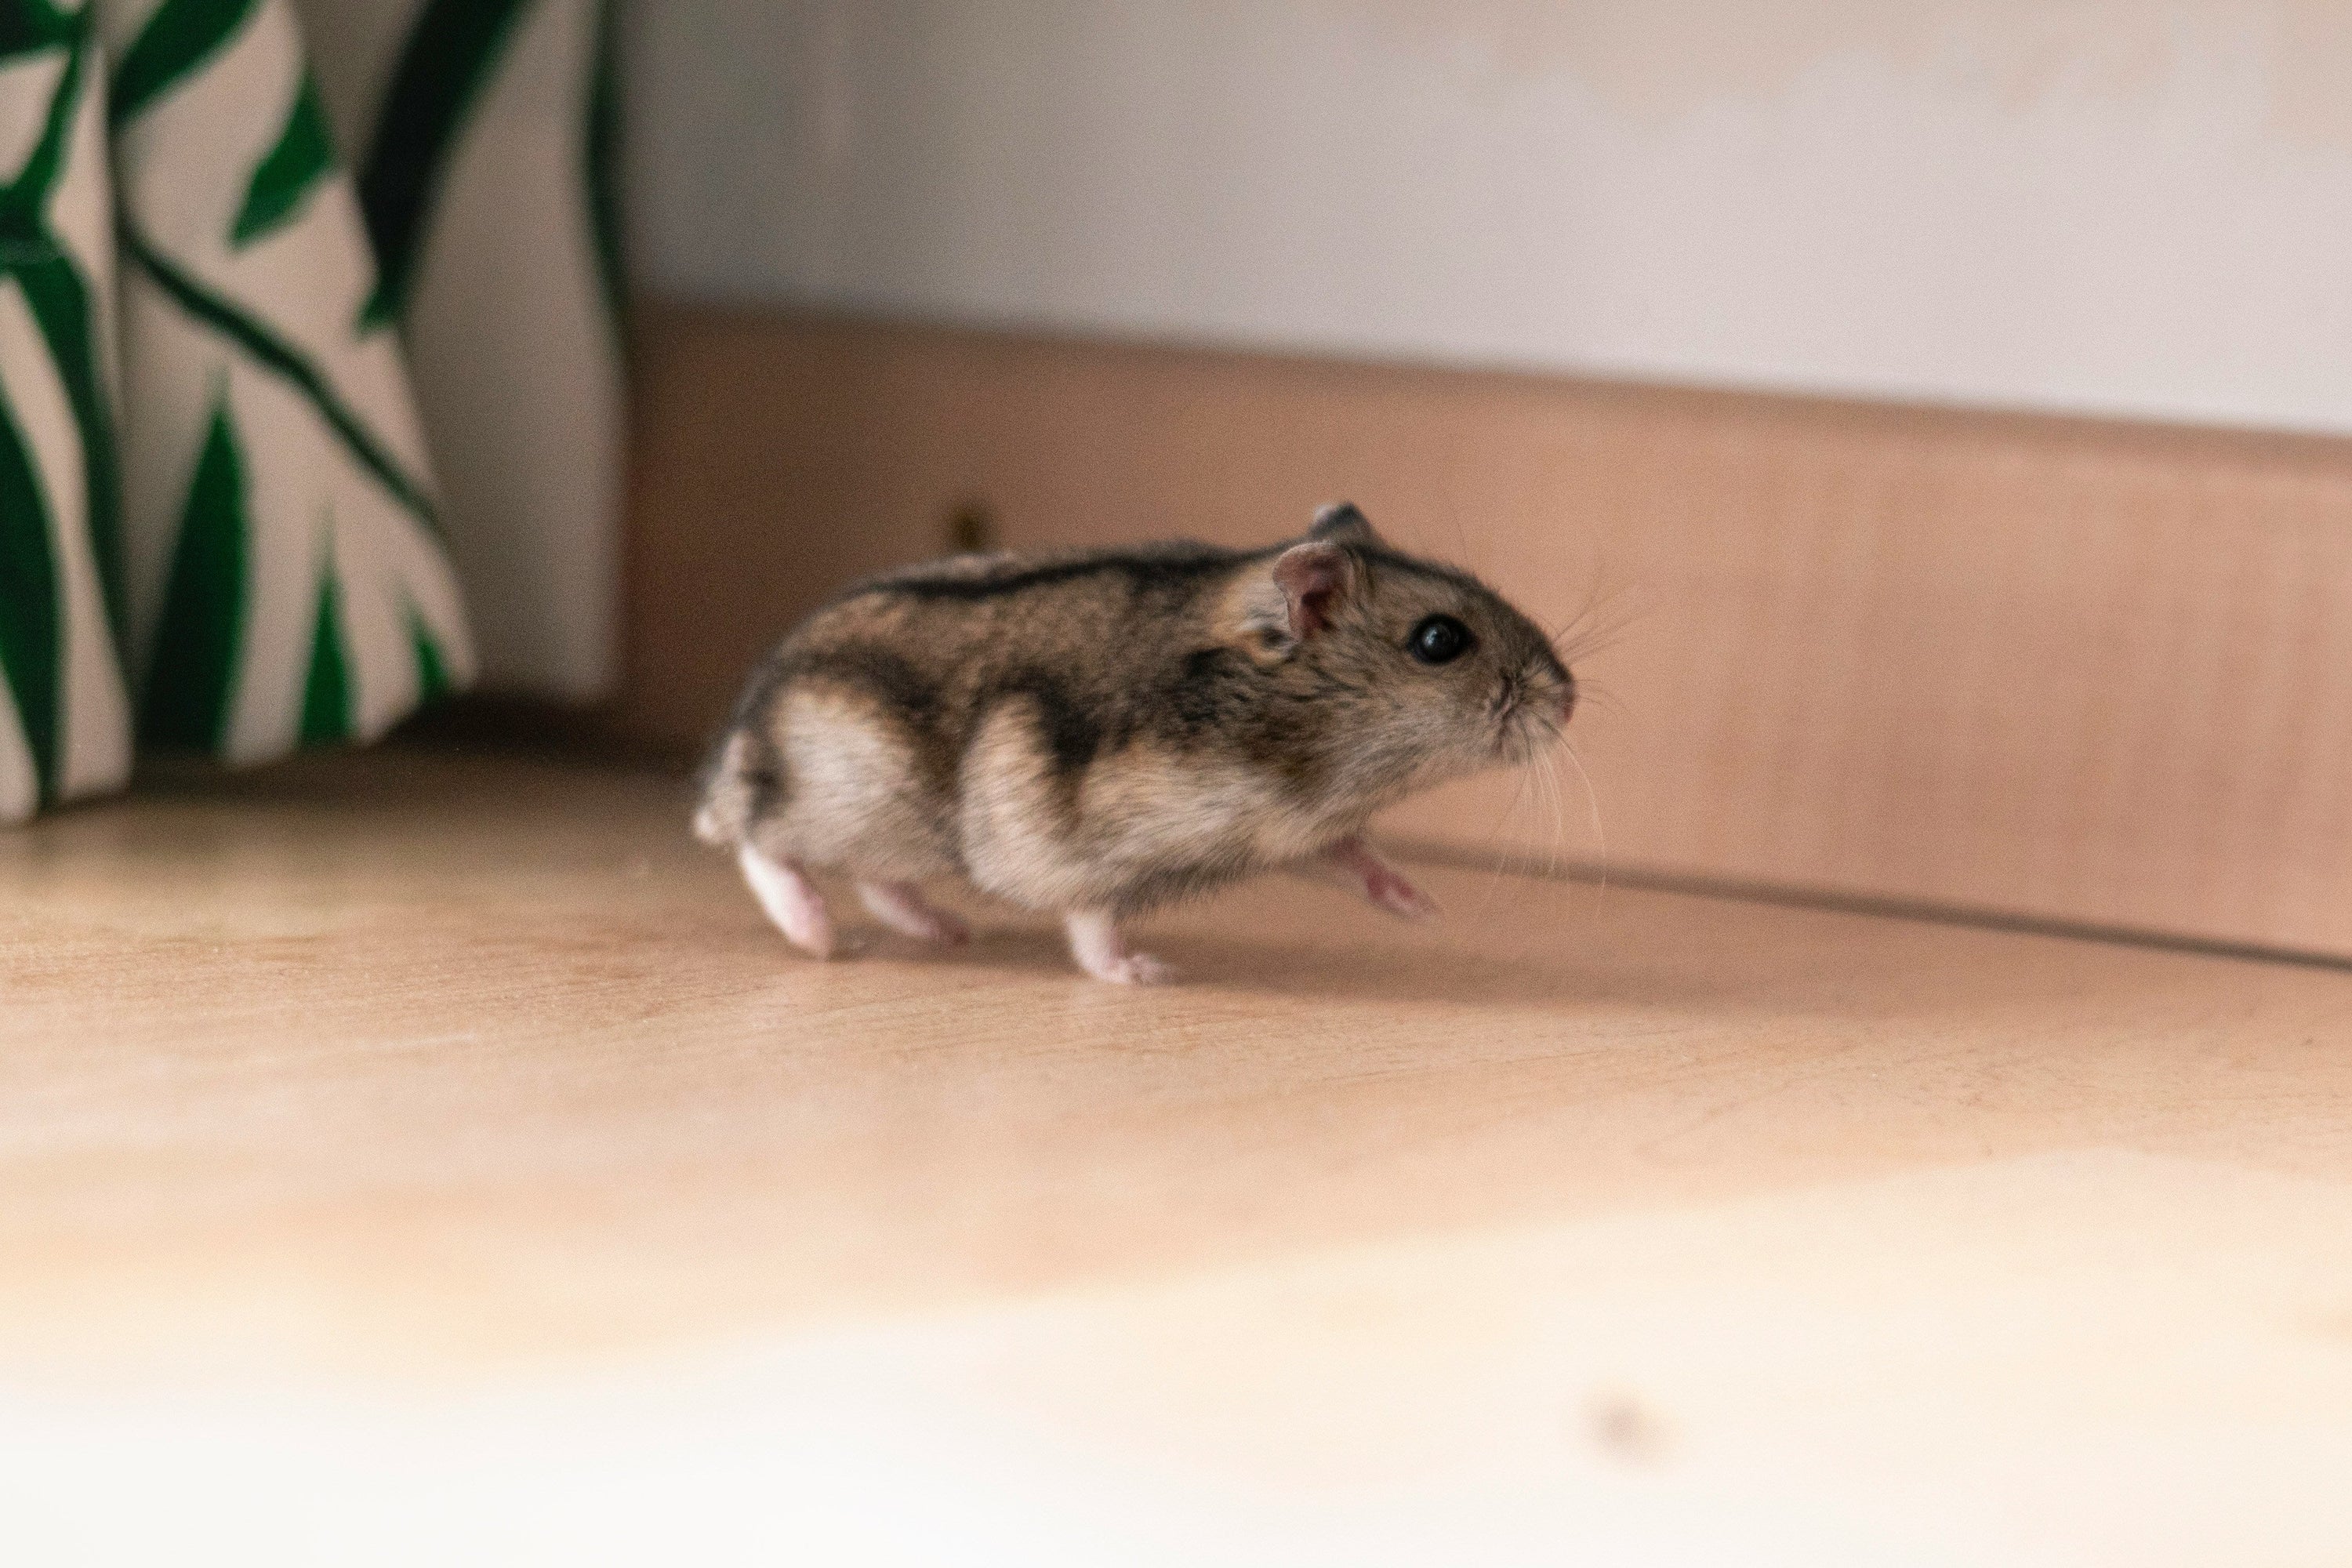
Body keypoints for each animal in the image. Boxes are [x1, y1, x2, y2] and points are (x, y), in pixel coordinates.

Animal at [694, 503, 1575, 982]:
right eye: (1439, 640)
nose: (1566, 700)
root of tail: (742, 737)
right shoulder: (1080, 846)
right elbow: (1092, 924)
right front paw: (1148, 974)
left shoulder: (1300, 832)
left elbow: (1353, 857)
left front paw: (1426, 910)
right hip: (845, 800)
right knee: (758, 842)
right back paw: (819, 935)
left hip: (893, 830)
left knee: (879, 882)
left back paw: (948, 930)